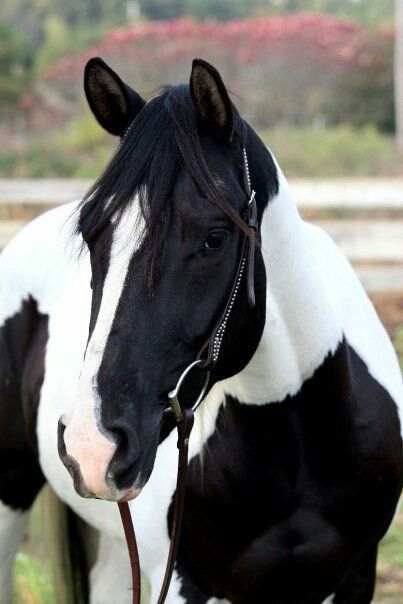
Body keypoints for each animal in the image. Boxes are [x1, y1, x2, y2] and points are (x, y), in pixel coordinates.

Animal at [0, 57, 403, 604]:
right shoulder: (183, 582)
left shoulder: (357, 572)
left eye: (215, 238)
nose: (92, 444)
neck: (296, 439)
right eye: (91, 232)